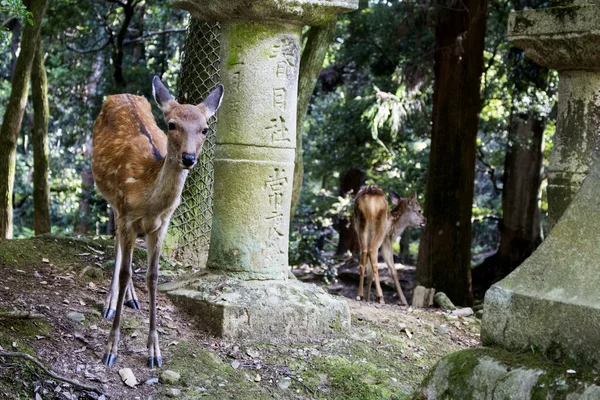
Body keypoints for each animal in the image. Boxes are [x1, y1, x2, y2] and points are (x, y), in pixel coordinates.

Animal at [92, 76, 224, 368]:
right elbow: (125, 271)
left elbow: (152, 276)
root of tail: (123, 94)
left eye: (205, 129)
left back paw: (130, 298)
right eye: (172, 124)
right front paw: (110, 349)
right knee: (117, 246)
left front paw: (155, 351)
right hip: (111, 199)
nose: (188, 158)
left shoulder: (162, 225)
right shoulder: (127, 215)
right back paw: (111, 302)